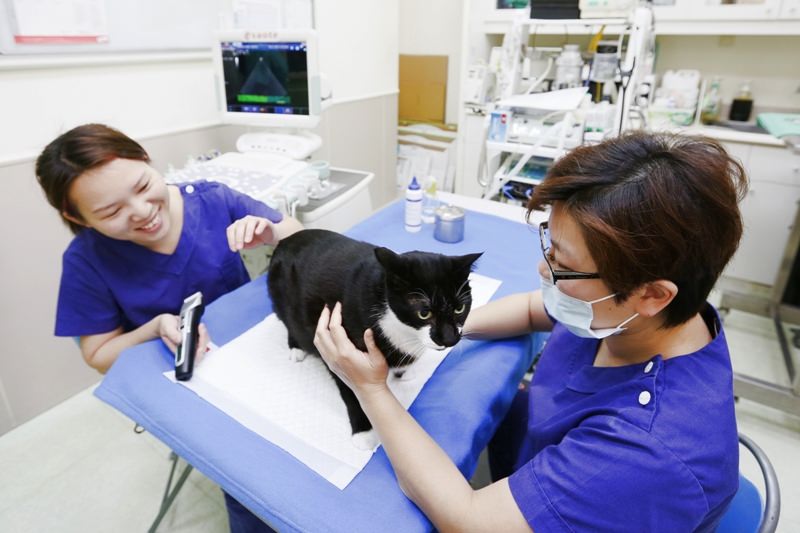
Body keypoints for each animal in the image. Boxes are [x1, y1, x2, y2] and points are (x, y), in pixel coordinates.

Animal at [268, 229, 482, 444]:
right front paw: (363, 433)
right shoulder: (338, 350)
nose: (449, 339)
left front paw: (404, 370)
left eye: (459, 308)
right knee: (288, 321)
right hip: (281, 300)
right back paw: (296, 347)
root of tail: (285, 240)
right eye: (424, 313)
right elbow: (351, 391)